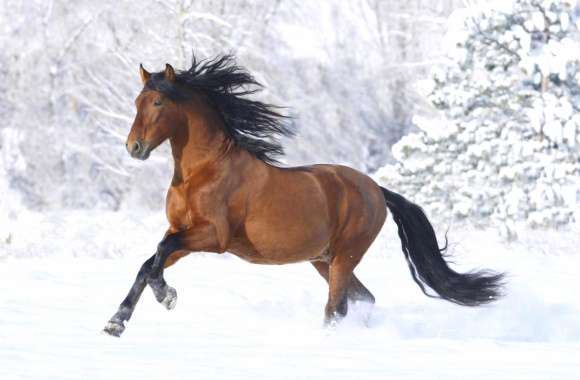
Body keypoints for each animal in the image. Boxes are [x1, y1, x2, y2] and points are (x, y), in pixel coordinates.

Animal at [103, 53, 502, 336]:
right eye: (136, 102)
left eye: (158, 103)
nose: (134, 148)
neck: (202, 172)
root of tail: (375, 189)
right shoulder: (182, 233)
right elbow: (149, 263)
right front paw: (116, 322)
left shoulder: (212, 237)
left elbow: (159, 252)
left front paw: (166, 296)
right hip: (323, 260)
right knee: (362, 298)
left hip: (344, 256)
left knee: (336, 307)